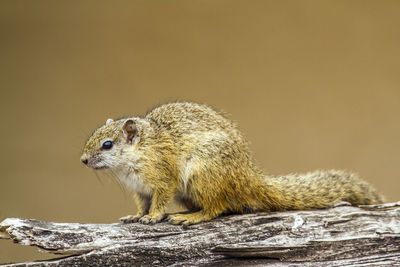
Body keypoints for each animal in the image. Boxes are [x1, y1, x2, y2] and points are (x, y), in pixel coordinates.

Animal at [79, 102, 382, 226]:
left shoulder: (163, 178)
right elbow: (142, 204)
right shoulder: (140, 190)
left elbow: (160, 201)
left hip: (202, 175)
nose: (82, 159)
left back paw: (190, 217)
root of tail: (248, 178)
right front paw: (136, 216)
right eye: (93, 136)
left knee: (216, 208)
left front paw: (153, 217)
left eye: (107, 144)